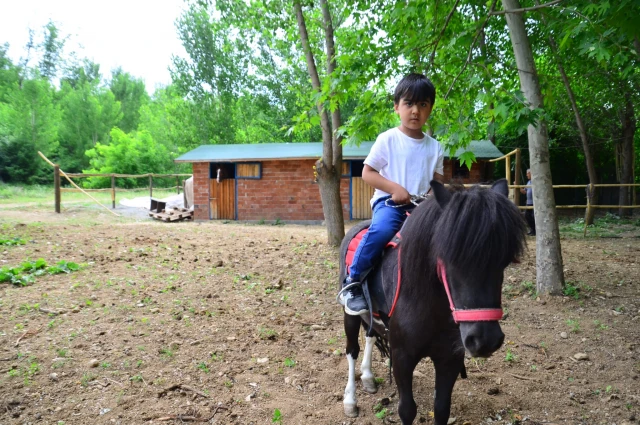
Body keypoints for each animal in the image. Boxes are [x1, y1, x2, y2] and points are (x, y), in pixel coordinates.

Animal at [340, 179, 524, 424]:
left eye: (504, 259)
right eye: (447, 257)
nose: (485, 340)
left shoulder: (450, 358)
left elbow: (442, 408)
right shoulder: (402, 357)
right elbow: (407, 410)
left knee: (370, 335)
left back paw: (368, 378)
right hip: (348, 315)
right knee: (352, 349)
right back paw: (350, 400)